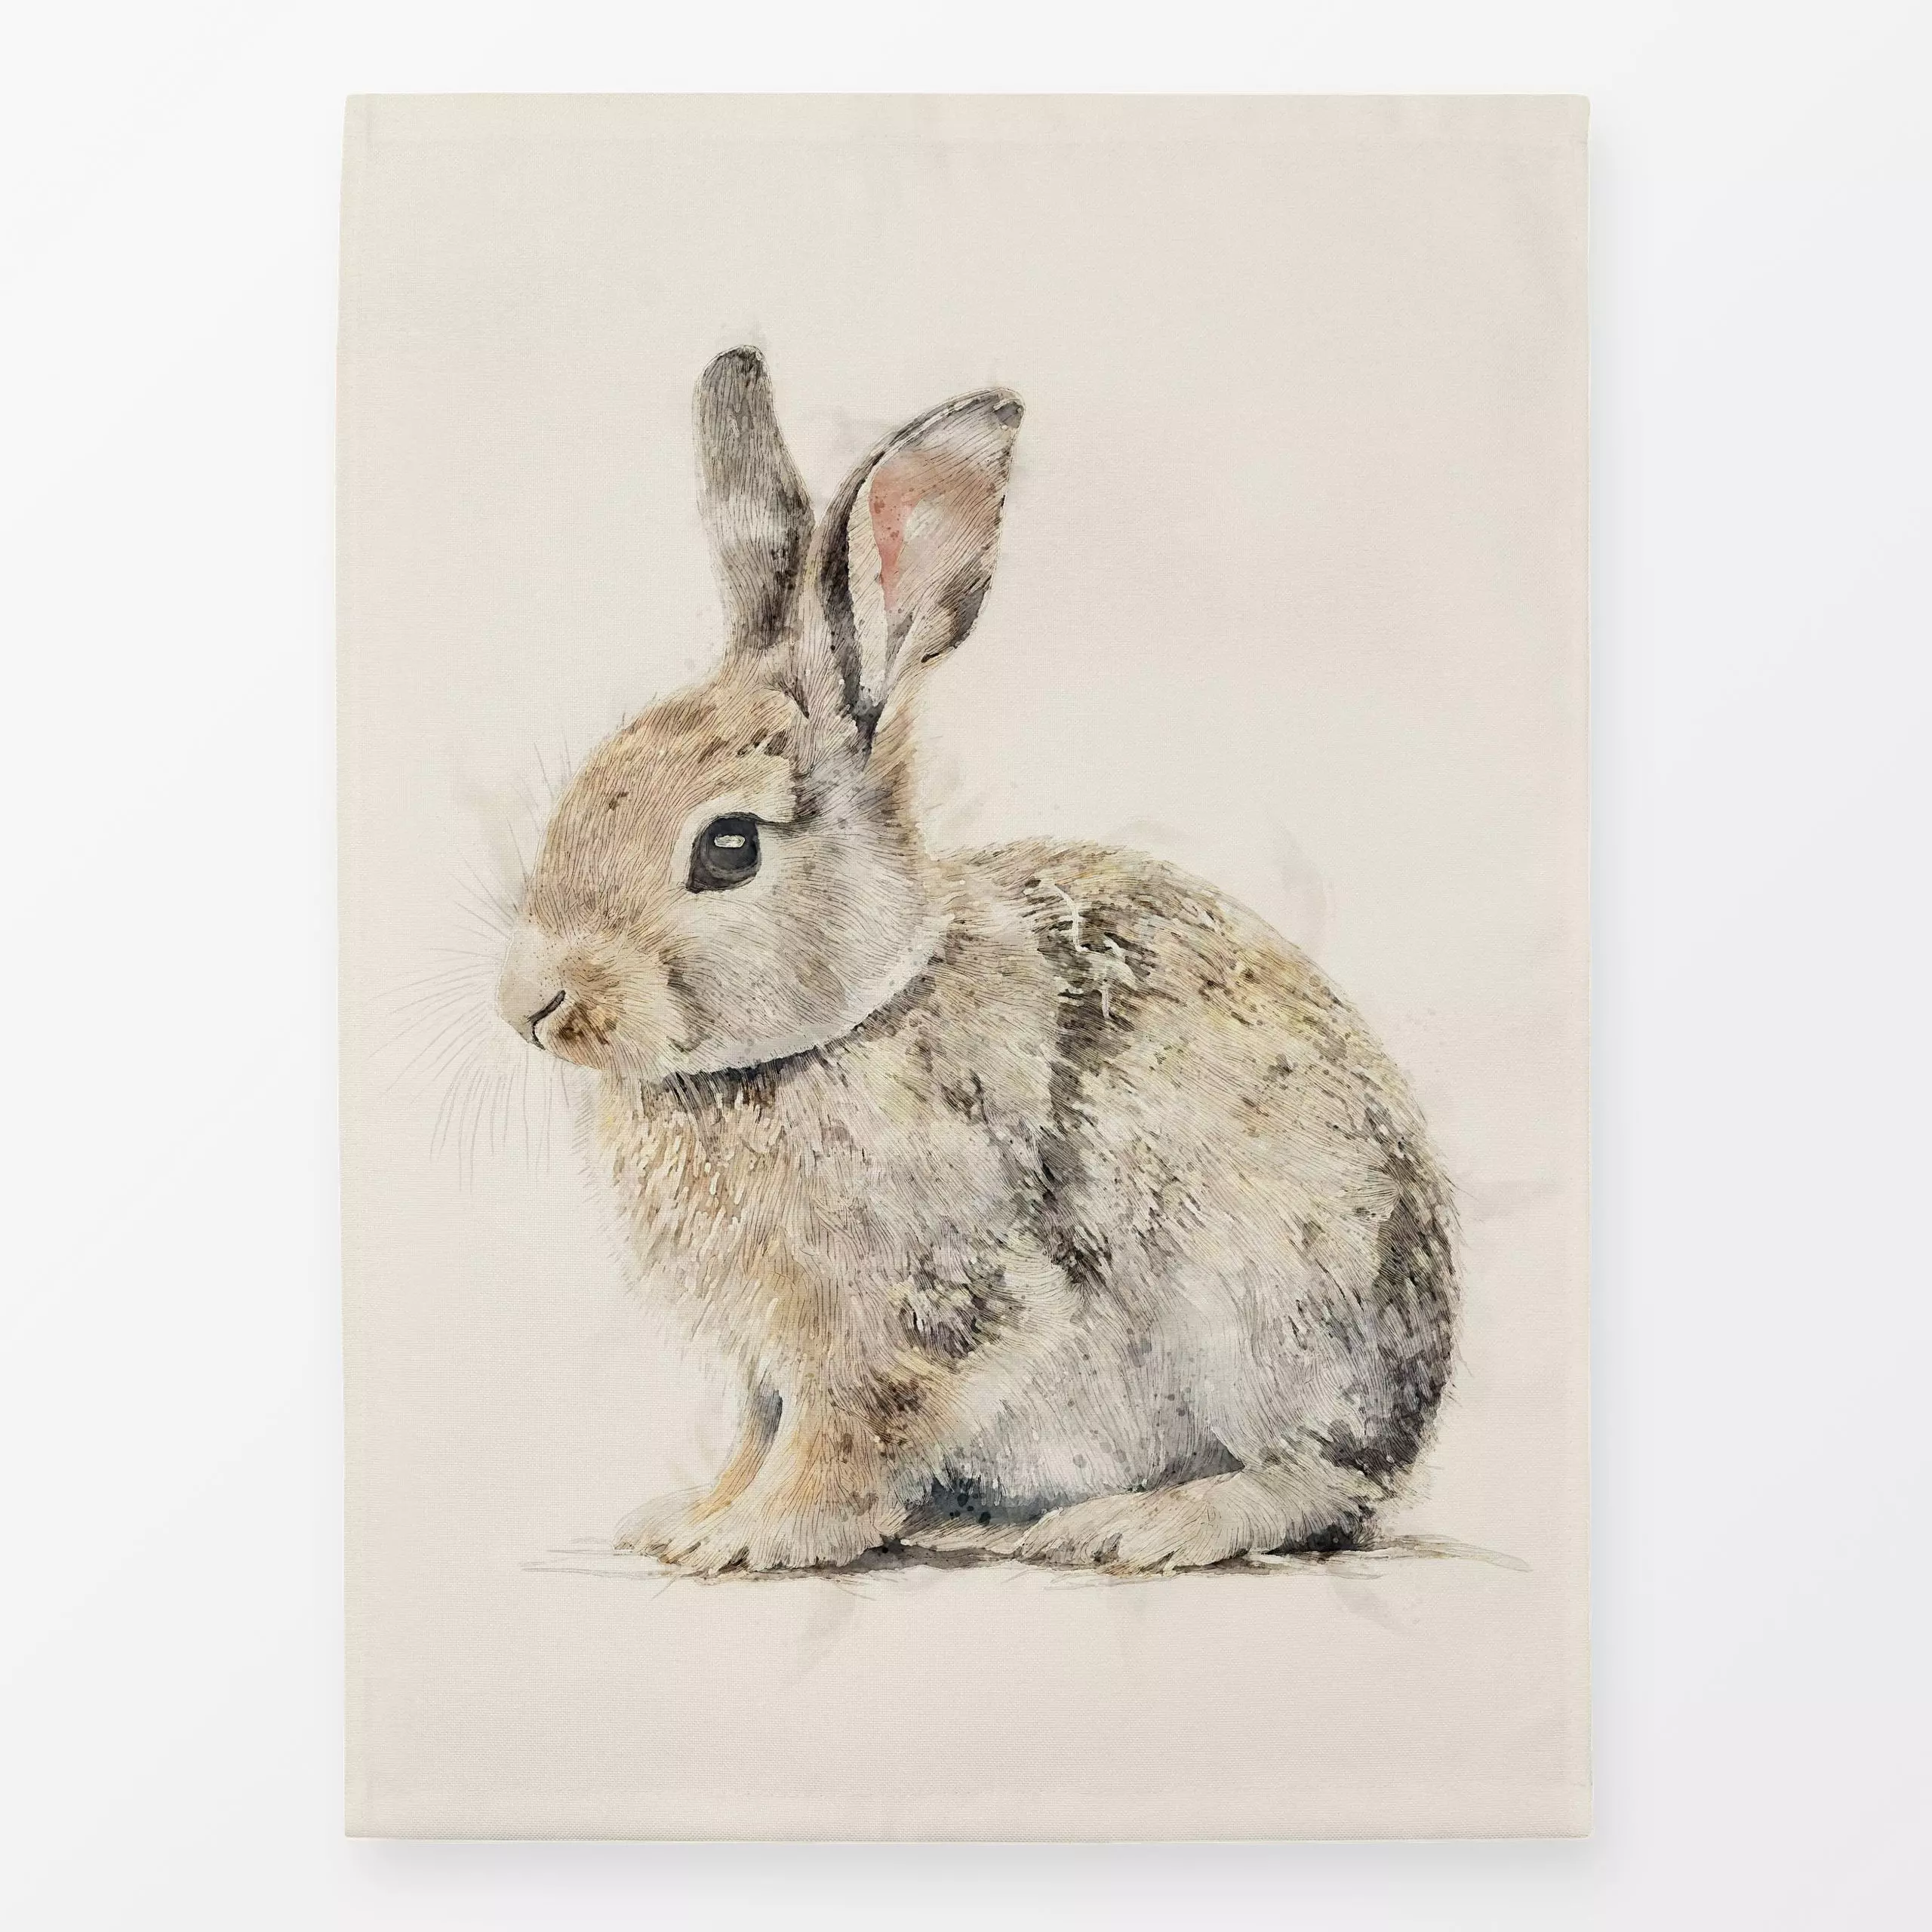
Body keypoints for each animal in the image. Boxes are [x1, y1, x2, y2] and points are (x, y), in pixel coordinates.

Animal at [494, 347, 1457, 1574]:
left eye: (727, 848)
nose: (531, 1002)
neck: (845, 1020)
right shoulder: (764, 1358)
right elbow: (758, 1429)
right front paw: (690, 1516)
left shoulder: (915, 1306)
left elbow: (839, 1434)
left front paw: (754, 1539)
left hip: (1269, 1314)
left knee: (1322, 1482)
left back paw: (1147, 1522)